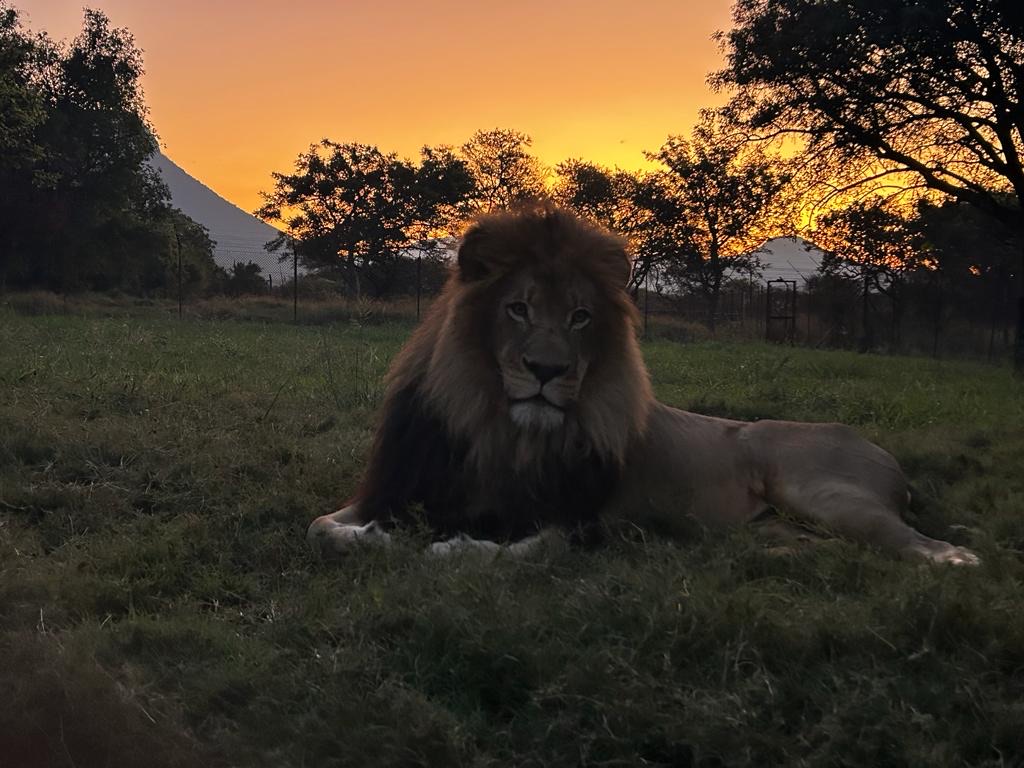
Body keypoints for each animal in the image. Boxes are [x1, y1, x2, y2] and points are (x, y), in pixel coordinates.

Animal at [307, 205, 979, 566]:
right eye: (518, 309)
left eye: (580, 317)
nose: (548, 371)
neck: (499, 429)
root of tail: (882, 452)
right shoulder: (398, 487)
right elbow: (320, 529)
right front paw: (371, 537)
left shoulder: (582, 521)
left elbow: (522, 548)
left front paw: (450, 548)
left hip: (822, 489)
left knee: (912, 542)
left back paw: (954, 561)